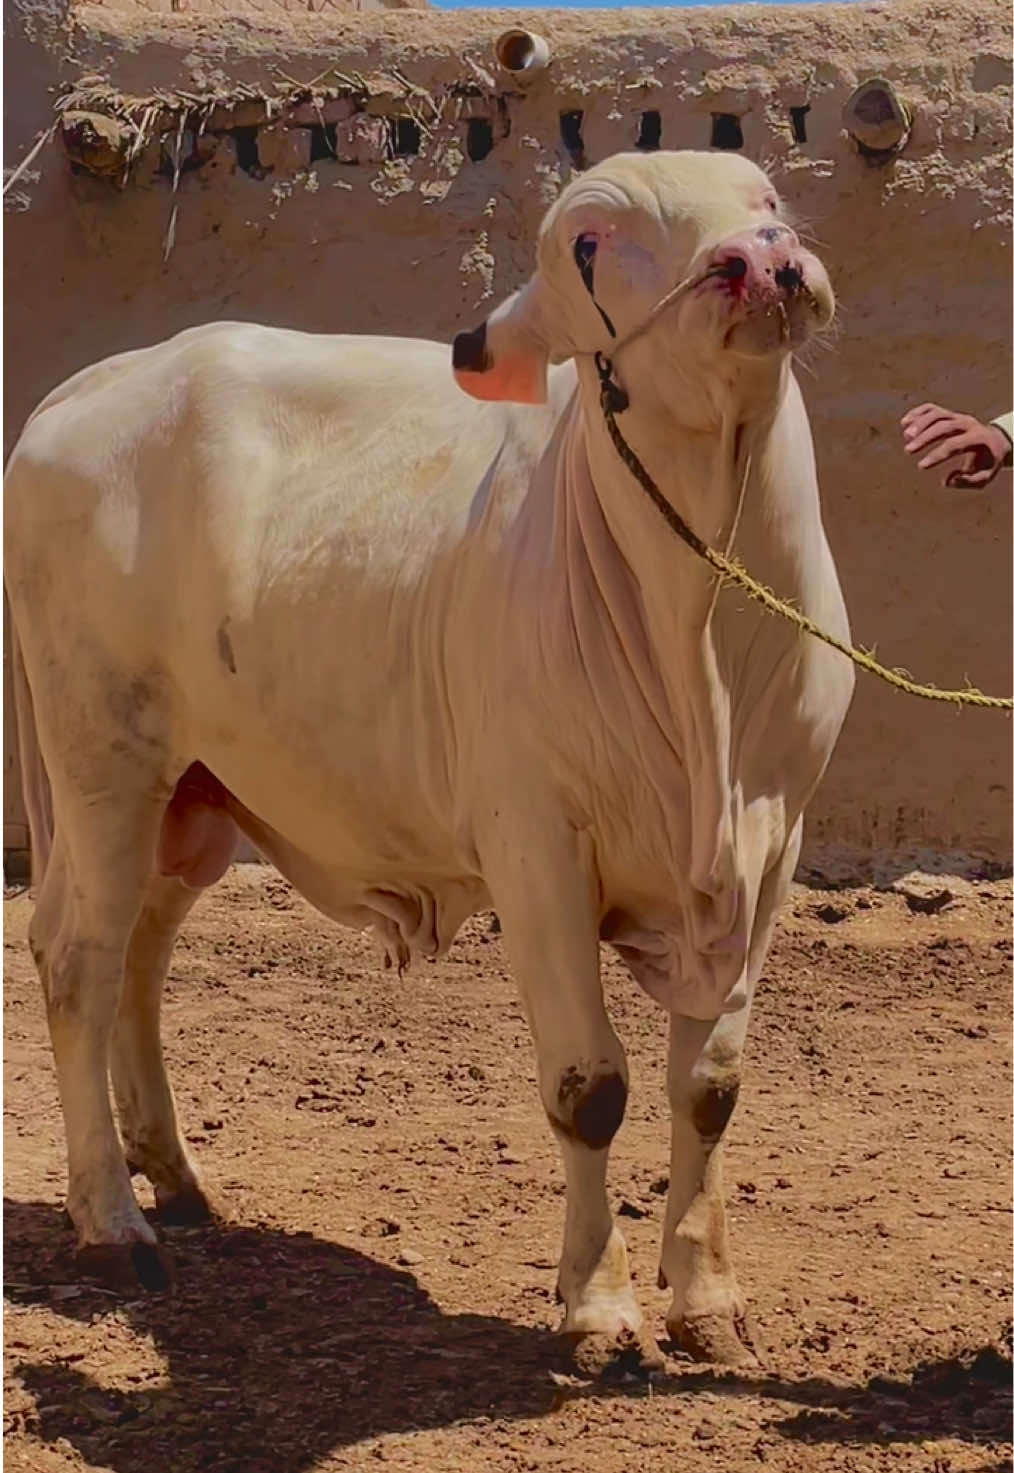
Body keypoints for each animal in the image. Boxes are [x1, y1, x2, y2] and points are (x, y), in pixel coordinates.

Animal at [4, 149, 854, 1372]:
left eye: (769, 202)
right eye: (587, 245)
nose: (759, 263)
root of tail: (89, 386)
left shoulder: (771, 848)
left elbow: (710, 1088)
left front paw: (706, 1301)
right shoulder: (535, 845)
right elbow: (590, 1087)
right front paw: (598, 1310)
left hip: (195, 793)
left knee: (139, 958)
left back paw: (177, 1176)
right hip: (101, 761)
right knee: (77, 955)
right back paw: (113, 1222)